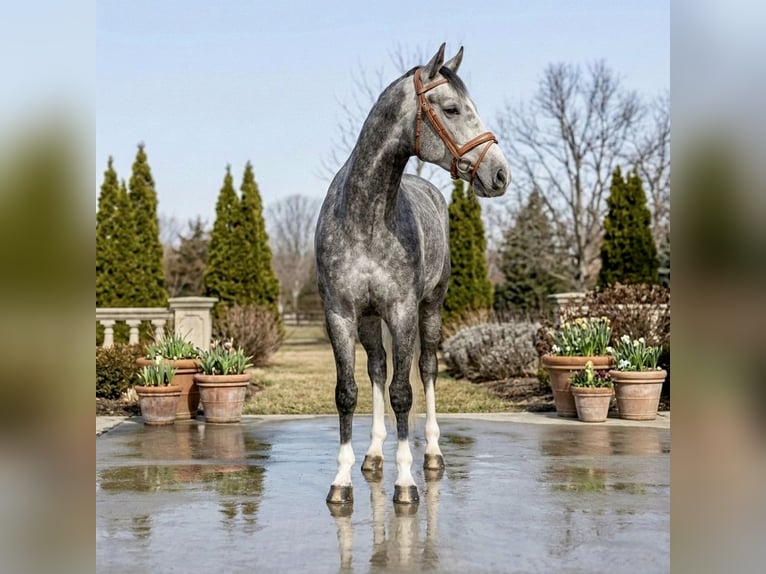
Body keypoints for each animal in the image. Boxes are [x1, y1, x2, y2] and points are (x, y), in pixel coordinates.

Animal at [315, 43, 510, 505]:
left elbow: (403, 393)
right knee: (378, 369)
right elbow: (348, 393)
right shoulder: (341, 315)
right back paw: (373, 455)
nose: (500, 174)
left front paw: (405, 482)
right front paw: (341, 480)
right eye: (452, 108)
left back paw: (432, 455)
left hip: (431, 309)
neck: (365, 216)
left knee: (426, 368)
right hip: (371, 321)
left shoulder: (403, 312)